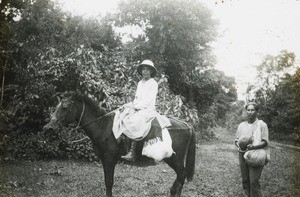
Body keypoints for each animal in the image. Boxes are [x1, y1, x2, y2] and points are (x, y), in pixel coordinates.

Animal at [43, 92, 196, 197]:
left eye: (64, 107)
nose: (48, 128)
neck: (103, 127)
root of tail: (186, 125)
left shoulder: (110, 159)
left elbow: (109, 182)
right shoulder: (104, 159)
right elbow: (107, 181)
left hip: (174, 159)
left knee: (182, 174)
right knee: (180, 177)